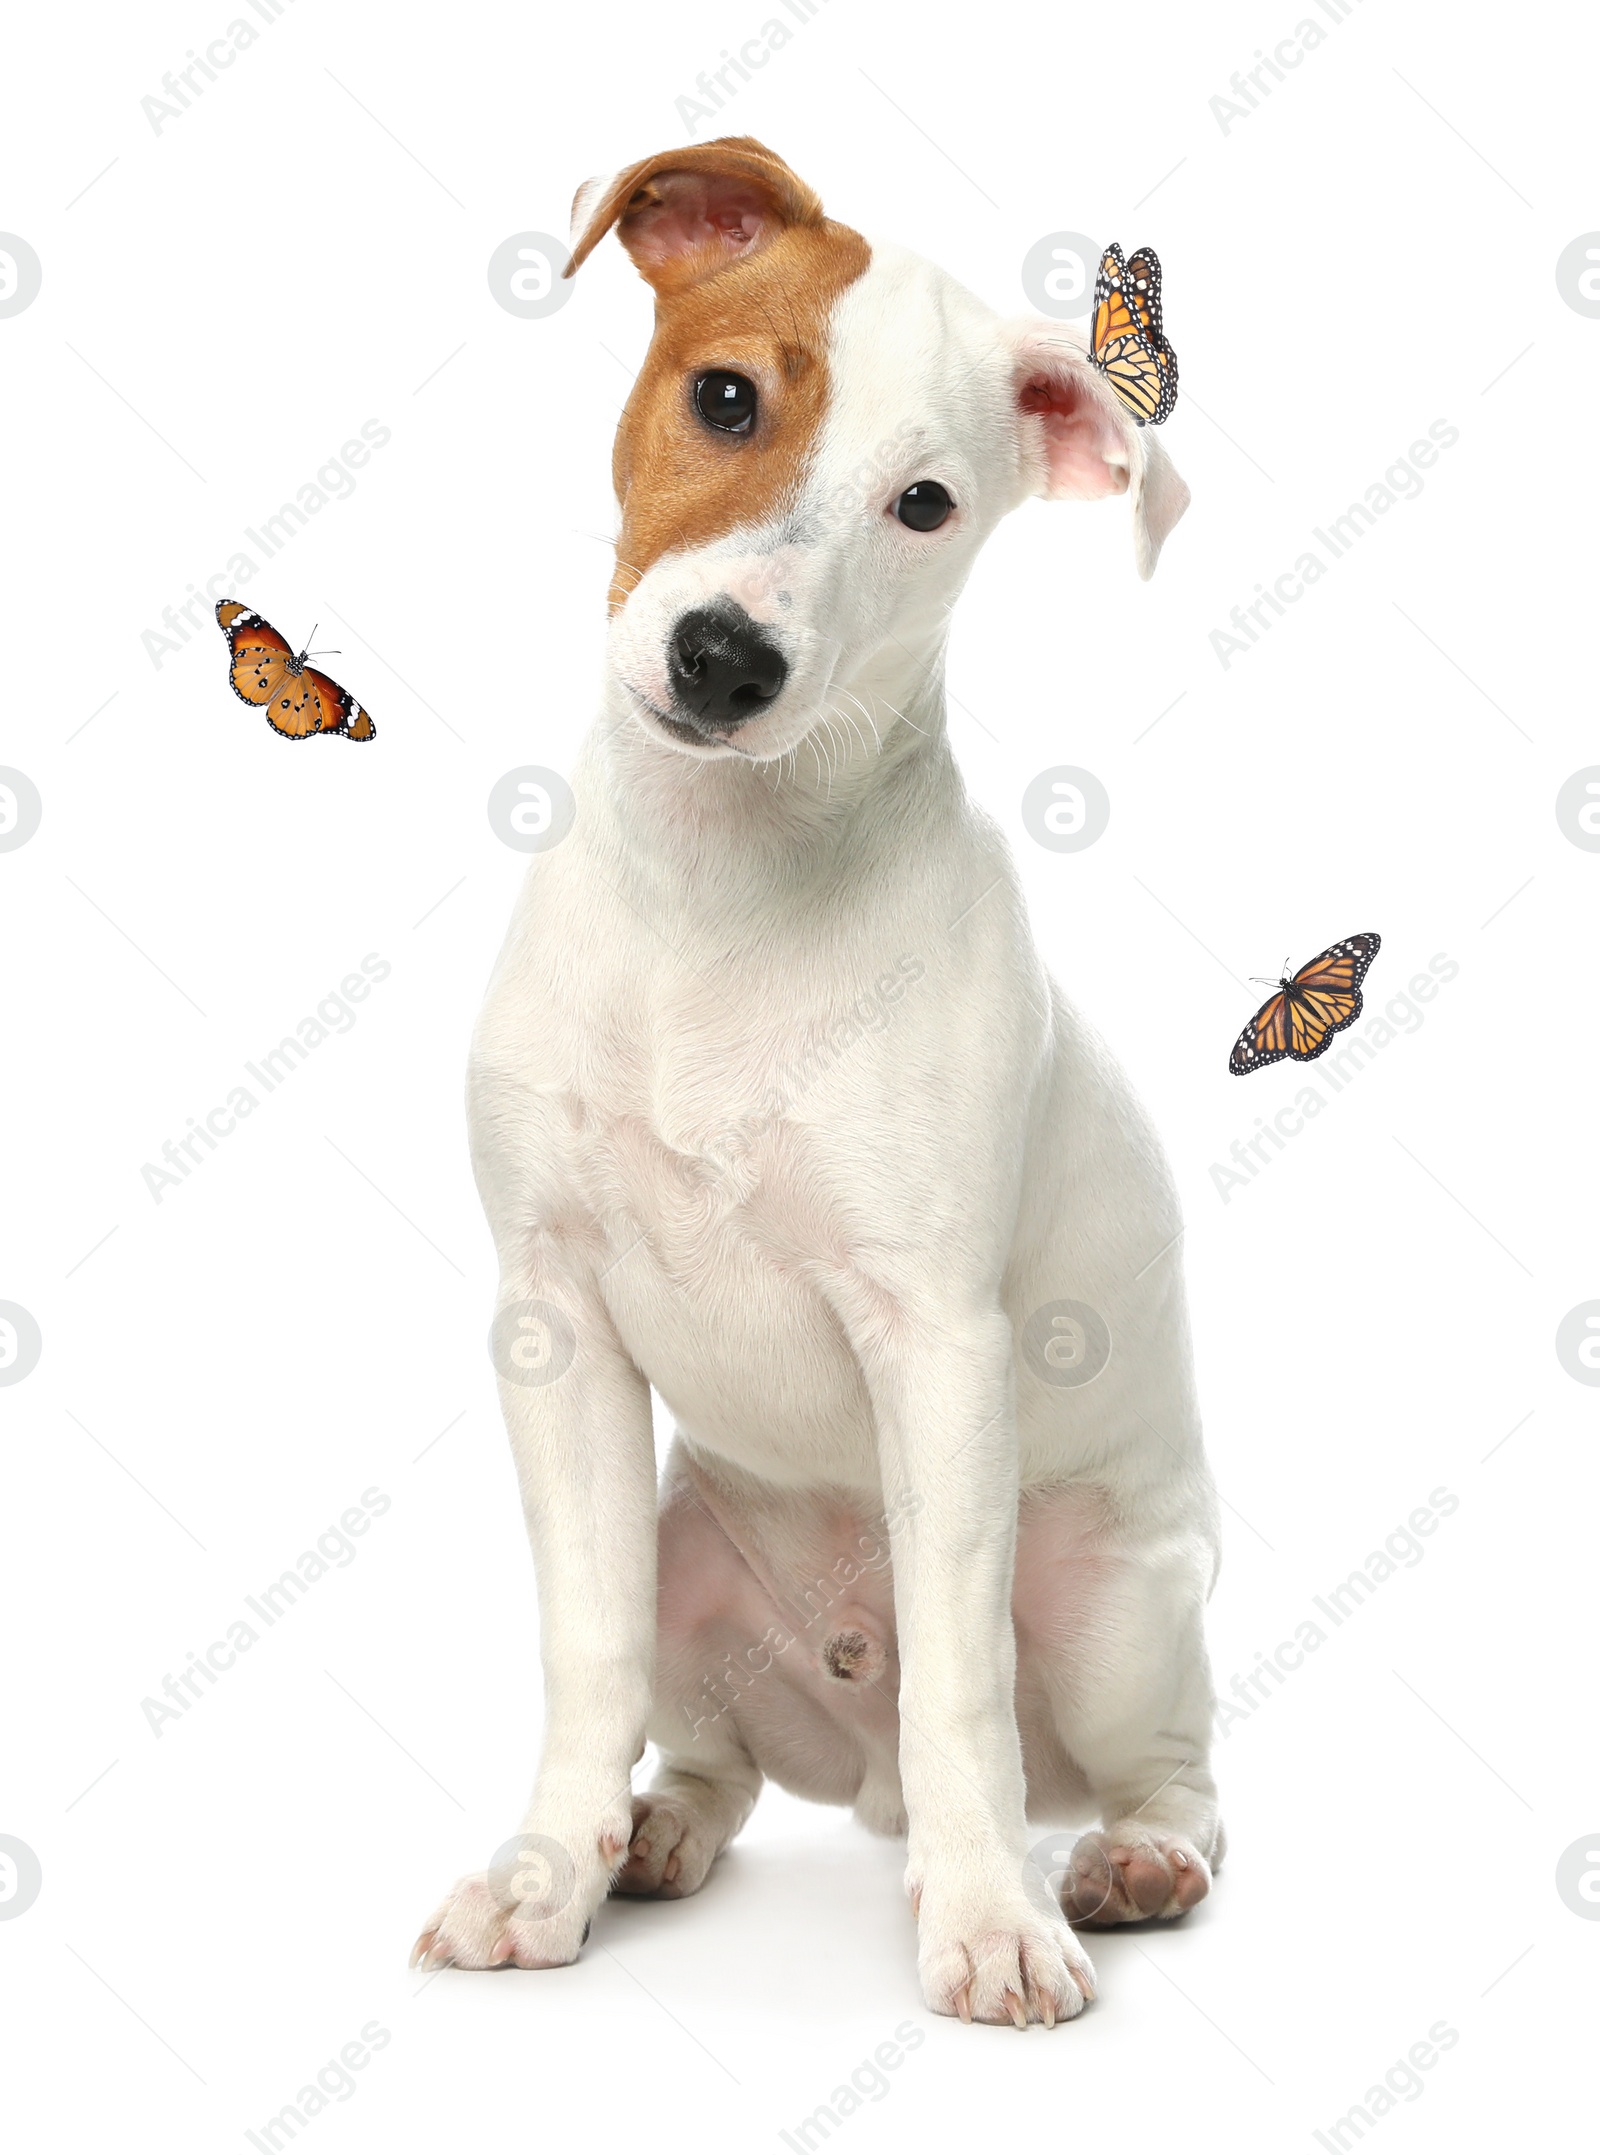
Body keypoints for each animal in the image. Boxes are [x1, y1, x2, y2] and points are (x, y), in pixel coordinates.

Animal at [416, 134, 1224, 2017]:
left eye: (925, 506)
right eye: (726, 396)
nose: (727, 659)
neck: (718, 892)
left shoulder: (938, 1346)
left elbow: (960, 1684)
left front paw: (991, 1921)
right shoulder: (552, 1323)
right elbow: (585, 1648)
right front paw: (545, 1871)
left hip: (1114, 1598)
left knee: (1151, 1761)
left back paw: (1121, 1862)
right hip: (693, 1554)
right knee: (711, 1748)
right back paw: (655, 1833)